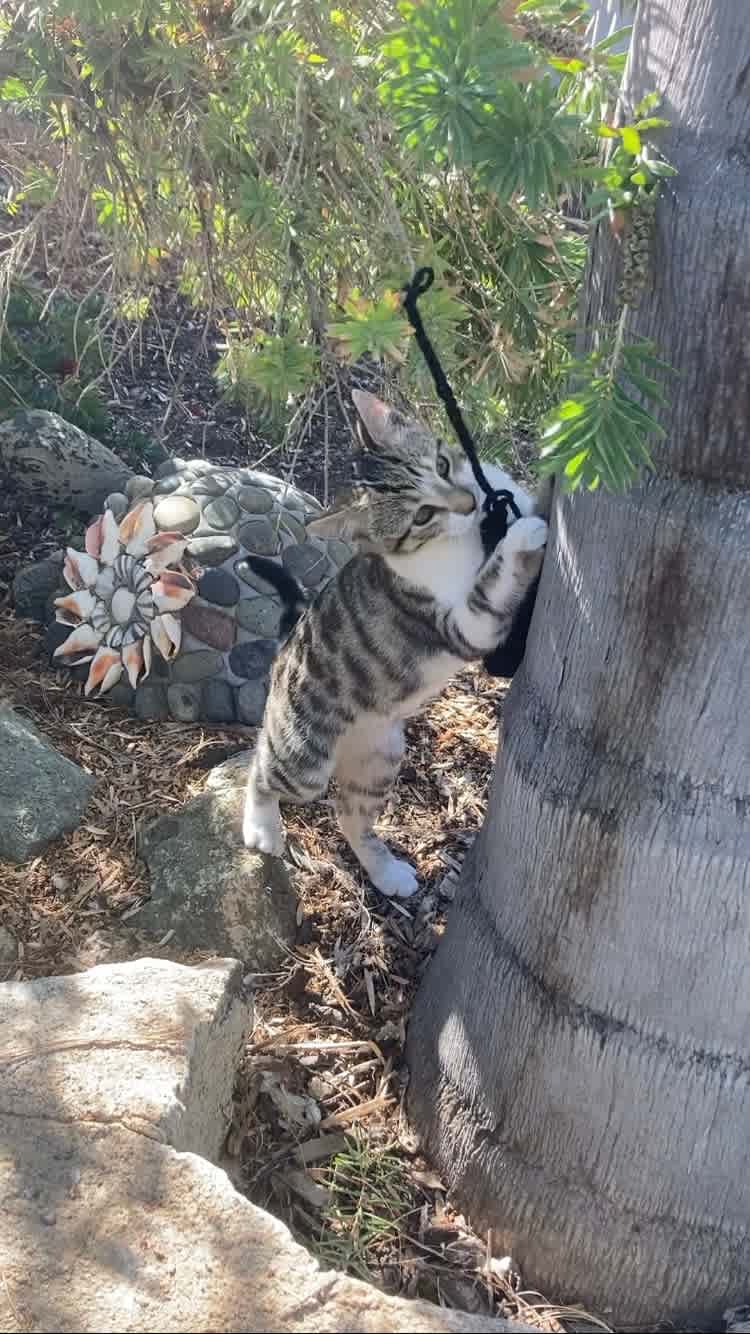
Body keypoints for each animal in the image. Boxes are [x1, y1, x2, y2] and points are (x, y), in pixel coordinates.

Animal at [244, 392, 541, 896]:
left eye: (442, 464)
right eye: (421, 515)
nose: (470, 504)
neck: (470, 537)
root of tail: (287, 646)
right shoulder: (463, 624)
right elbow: (492, 584)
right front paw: (521, 538)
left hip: (380, 756)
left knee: (349, 815)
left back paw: (386, 873)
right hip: (304, 758)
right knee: (263, 768)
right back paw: (260, 825)